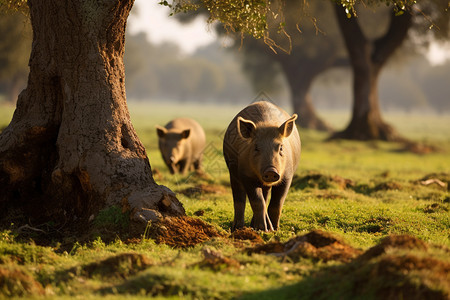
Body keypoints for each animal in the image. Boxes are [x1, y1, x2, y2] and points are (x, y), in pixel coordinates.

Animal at [222, 101, 300, 232]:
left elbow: (276, 203)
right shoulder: (246, 175)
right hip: (233, 173)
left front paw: (275, 230)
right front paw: (262, 229)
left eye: (281, 147)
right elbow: (257, 202)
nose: (271, 170)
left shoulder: (287, 176)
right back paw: (238, 228)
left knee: (266, 196)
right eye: (256, 148)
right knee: (239, 199)